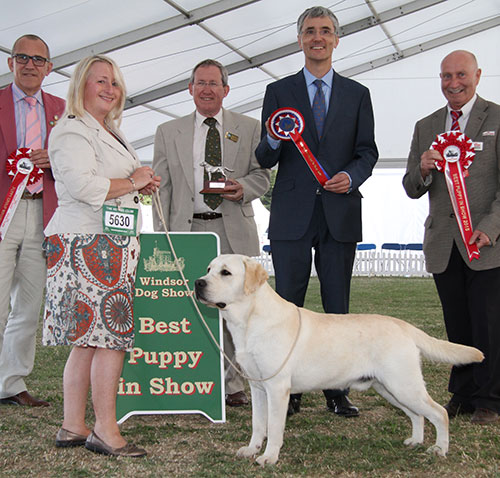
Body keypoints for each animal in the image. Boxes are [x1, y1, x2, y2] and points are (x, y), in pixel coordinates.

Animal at [195, 256, 484, 464]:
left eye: (225, 272)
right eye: (208, 269)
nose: (198, 283)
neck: (249, 320)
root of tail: (403, 325)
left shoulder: (277, 388)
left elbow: (274, 427)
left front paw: (269, 457)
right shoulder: (257, 387)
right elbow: (258, 425)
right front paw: (251, 449)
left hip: (404, 384)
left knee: (439, 413)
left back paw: (440, 449)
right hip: (390, 388)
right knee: (417, 415)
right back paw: (415, 441)